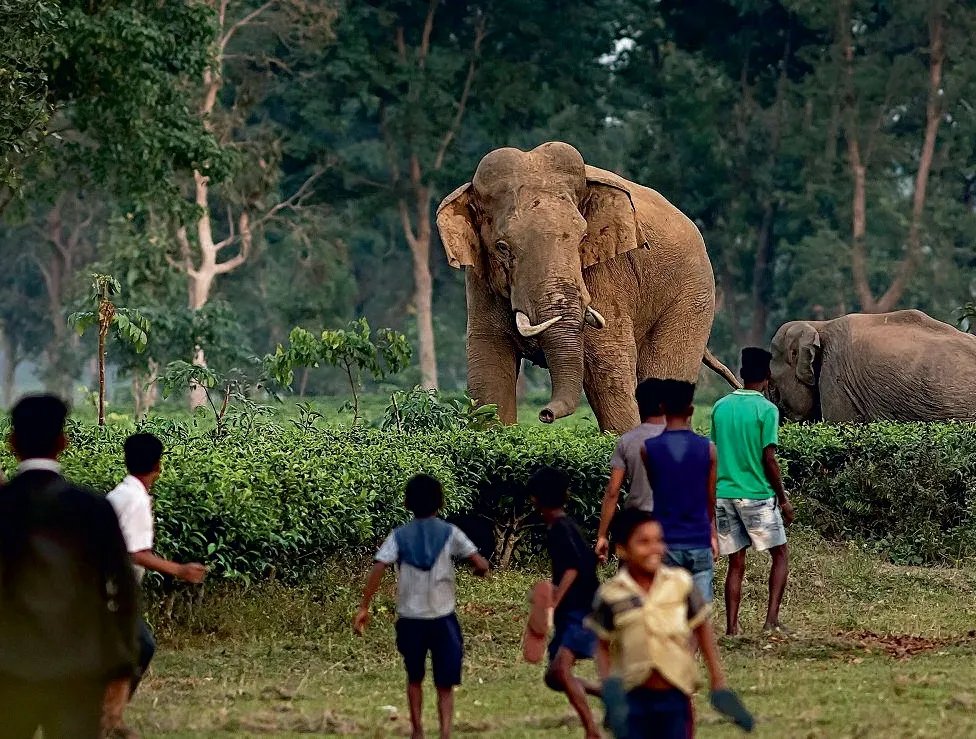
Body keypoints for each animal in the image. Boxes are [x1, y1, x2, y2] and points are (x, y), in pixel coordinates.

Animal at [435, 141, 737, 433]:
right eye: (501, 247)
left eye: (582, 238)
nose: (545, 414)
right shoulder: (480, 281)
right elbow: (489, 376)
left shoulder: (606, 274)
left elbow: (606, 368)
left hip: (691, 294)